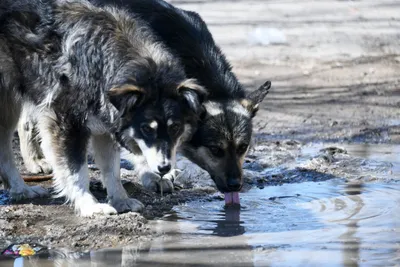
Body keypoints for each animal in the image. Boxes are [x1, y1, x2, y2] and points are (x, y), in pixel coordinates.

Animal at [0, 0, 205, 217]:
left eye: (175, 128)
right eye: (146, 129)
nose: (165, 168)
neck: (103, 62)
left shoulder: (105, 123)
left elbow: (111, 169)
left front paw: (121, 199)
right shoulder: (66, 123)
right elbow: (77, 170)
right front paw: (88, 204)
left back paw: (20, 189)